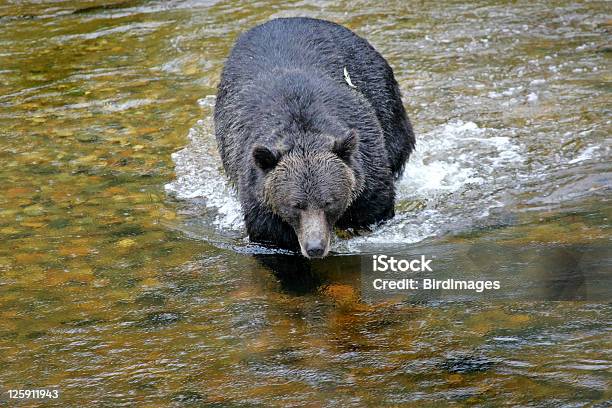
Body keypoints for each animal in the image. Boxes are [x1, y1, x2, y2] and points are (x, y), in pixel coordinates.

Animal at [213, 17, 414, 258]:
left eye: (328, 202)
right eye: (295, 205)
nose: (315, 247)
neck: (302, 130)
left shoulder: (367, 167)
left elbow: (373, 209)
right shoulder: (259, 197)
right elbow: (270, 239)